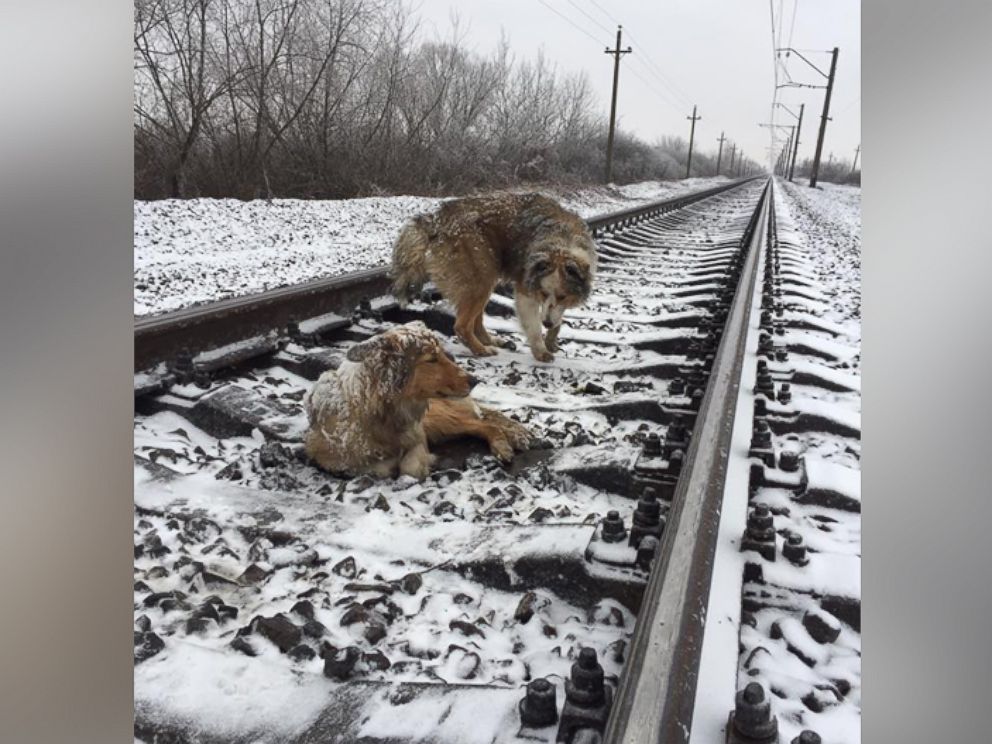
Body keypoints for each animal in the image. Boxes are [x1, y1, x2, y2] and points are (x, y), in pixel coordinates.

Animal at [304, 322, 532, 480]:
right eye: (431, 359)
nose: (475, 380)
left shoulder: (418, 435)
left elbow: (409, 468)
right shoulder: (330, 458)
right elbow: (376, 467)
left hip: (439, 419)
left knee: (485, 424)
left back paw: (505, 444)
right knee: (484, 421)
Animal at [390, 193, 596, 362]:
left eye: (563, 296)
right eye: (543, 293)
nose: (546, 323)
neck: (561, 240)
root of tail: (435, 219)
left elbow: (557, 316)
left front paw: (551, 338)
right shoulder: (525, 290)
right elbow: (534, 326)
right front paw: (540, 350)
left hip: (485, 277)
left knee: (476, 321)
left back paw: (493, 341)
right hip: (481, 278)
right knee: (462, 326)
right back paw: (481, 350)